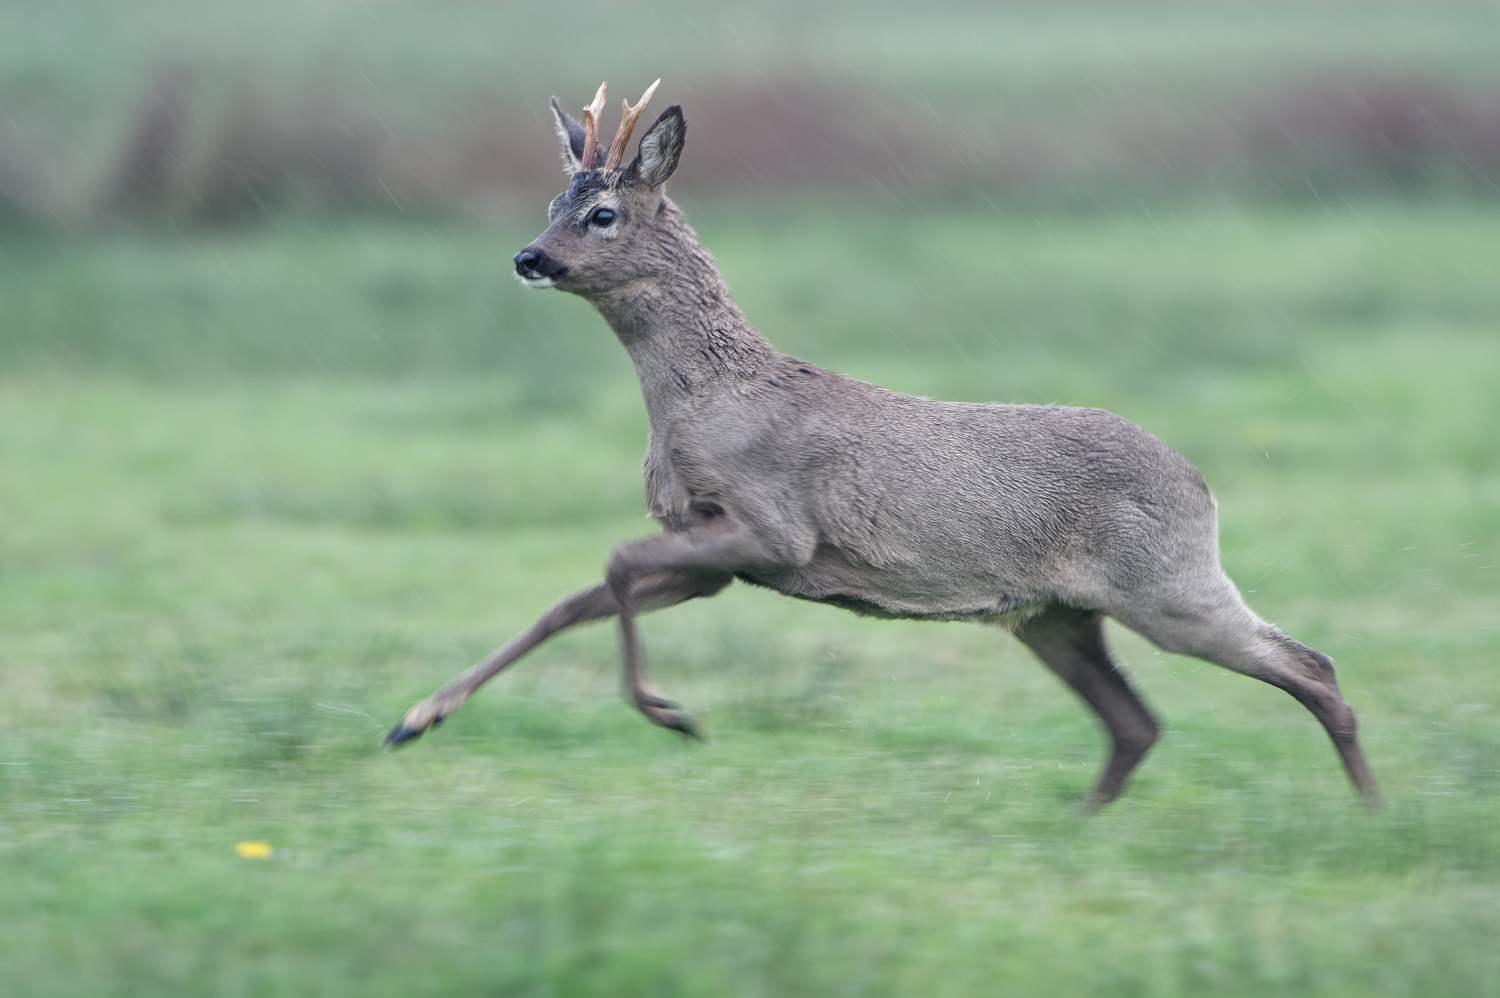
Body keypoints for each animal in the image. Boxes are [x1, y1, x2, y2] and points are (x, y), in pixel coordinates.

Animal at [390, 79, 1380, 810]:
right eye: (552, 200)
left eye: (602, 214)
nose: (528, 257)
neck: (704, 402)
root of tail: (1202, 485)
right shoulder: (715, 556)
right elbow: (577, 598)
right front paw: (416, 719)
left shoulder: (772, 530)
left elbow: (615, 563)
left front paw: (671, 714)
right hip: (1057, 613)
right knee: (1137, 721)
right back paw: (1081, 822)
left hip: (1166, 585)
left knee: (1311, 666)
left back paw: (1371, 808)